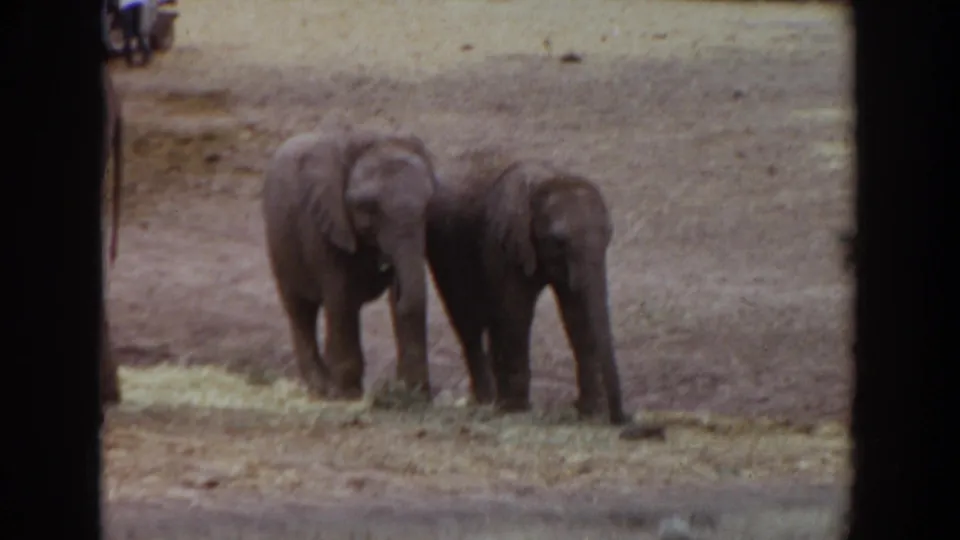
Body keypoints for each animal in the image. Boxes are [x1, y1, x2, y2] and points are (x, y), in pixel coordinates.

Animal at [262, 128, 438, 400]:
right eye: (368, 207)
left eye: (429, 203)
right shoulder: (323, 225)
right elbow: (341, 298)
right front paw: (348, 395)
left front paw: (415, 396)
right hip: (279, 242)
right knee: (300, 311)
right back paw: (321, 388)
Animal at [425, 148, 627, 424]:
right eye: (559, 240)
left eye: (609, 234)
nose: (622, 419)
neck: (548, 181)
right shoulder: (503, 242)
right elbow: (516, 312)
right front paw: (518, 409)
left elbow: (577, 314)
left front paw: (589, 412)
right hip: (442, 250)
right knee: (467, 319)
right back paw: (488, 400)